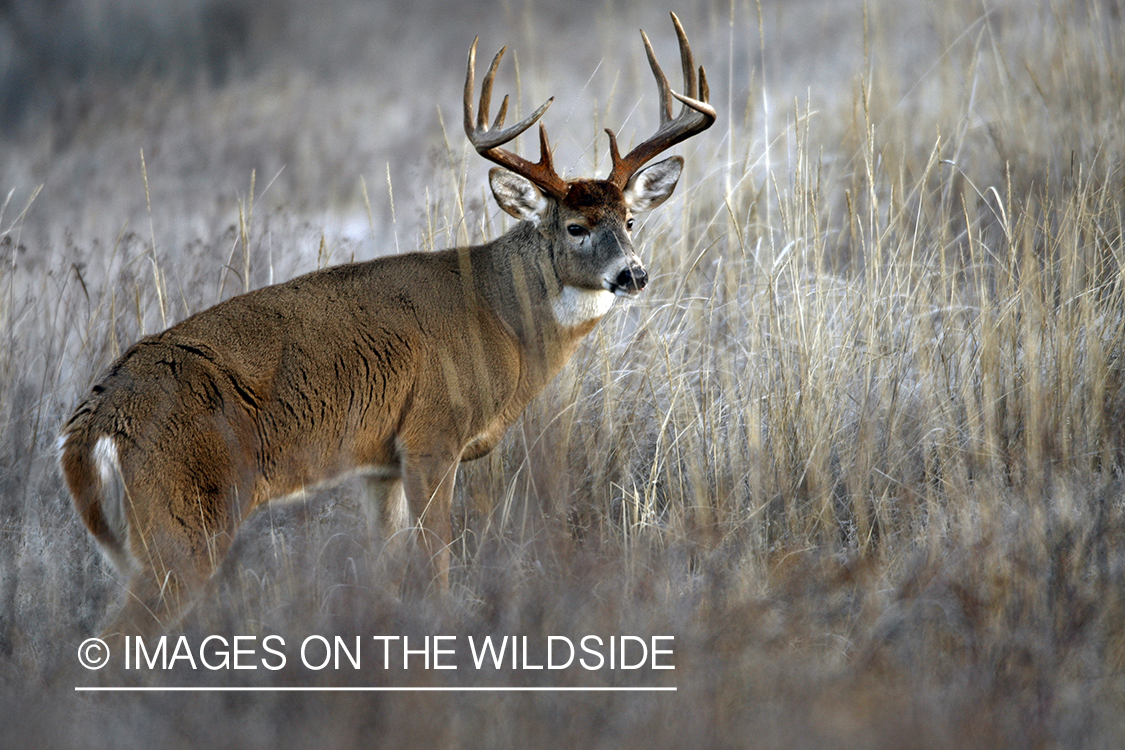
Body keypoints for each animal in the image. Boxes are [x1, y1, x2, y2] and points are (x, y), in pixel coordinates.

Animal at [59, 11, 711, 638]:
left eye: (630, 220)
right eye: (576, 226)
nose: (633, 274)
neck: (501, 319)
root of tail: (92, 426)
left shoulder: (380, 465)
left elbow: (386, 569)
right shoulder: (432, 434)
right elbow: (436, 565)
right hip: (185, 513)